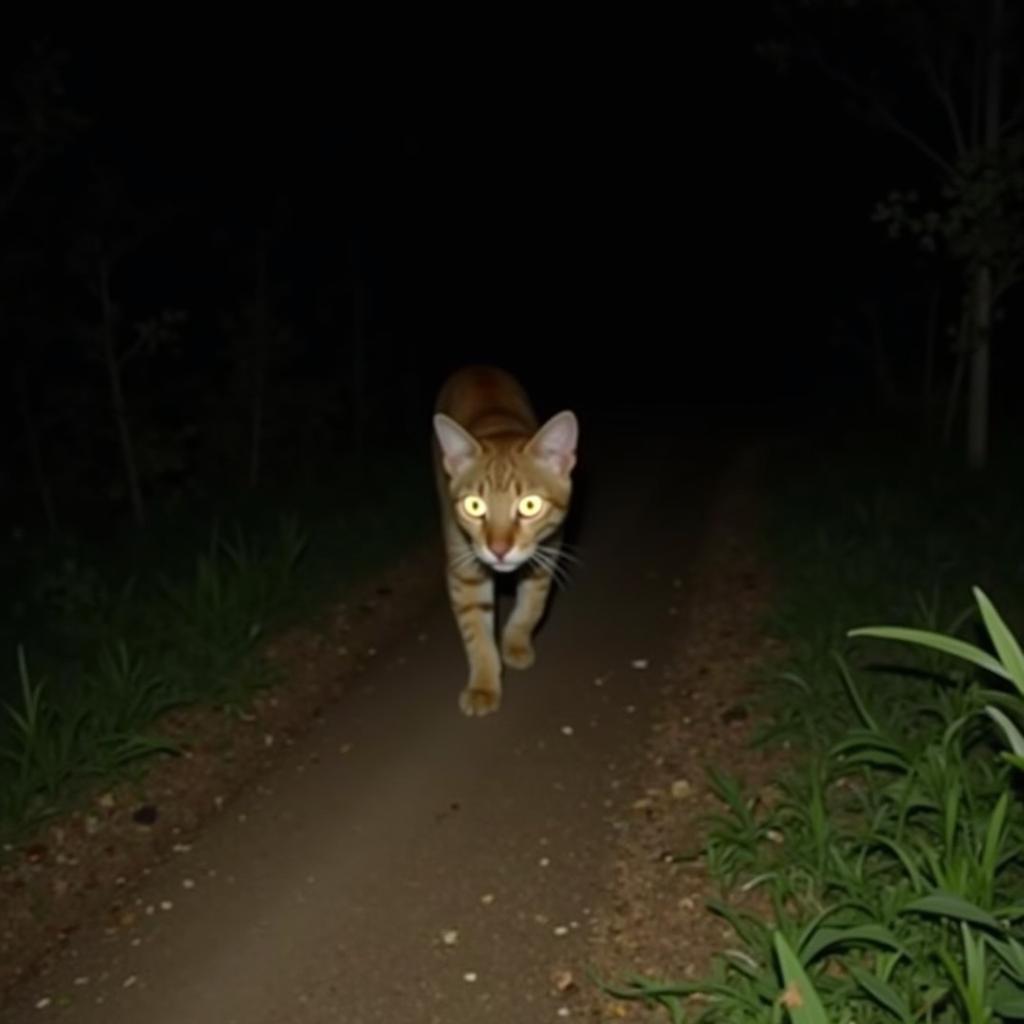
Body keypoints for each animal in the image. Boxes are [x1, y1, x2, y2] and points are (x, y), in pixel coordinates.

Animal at [430, 370, 581, 720]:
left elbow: (531, 608)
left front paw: (515, 643)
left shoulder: (547, 554)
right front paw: (484, 686)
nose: (498, 549)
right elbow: (477, 636)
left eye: (530, 505)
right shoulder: (465, 572)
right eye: (474, 506)